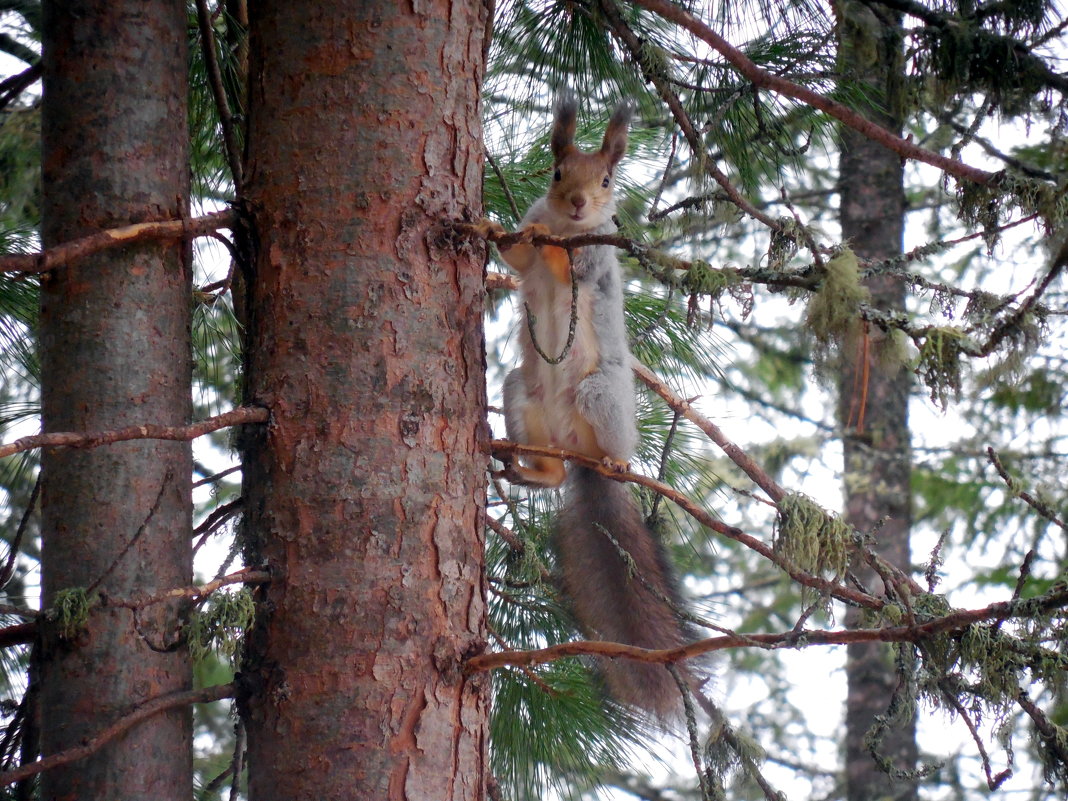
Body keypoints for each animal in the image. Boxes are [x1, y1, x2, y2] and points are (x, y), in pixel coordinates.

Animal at [482, 95, 692, 721]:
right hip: (520, 394)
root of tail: (582, 454)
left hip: (599, 396)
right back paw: (529, 468)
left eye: (605, 181)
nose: (577, 203)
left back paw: (618, 463)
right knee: (552, 472)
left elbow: (568, 266)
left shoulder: (594, 256)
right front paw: (500, 228)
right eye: (556, 173)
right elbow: (517, 256)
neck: (566, 228)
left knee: (607, 449)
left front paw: (550, 244)